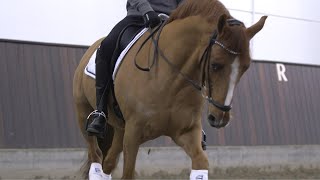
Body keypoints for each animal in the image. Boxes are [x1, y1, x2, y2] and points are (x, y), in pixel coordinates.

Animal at [73, 0, 268, 179]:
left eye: (245, 68)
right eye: (215, 65)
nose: (220, 118)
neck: (170, 81)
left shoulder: (186, 132)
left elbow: (201, 162)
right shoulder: (133, 134)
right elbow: (128, 174)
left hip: (120, 129)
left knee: (108, 162)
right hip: (84, 115)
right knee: (96, 155)